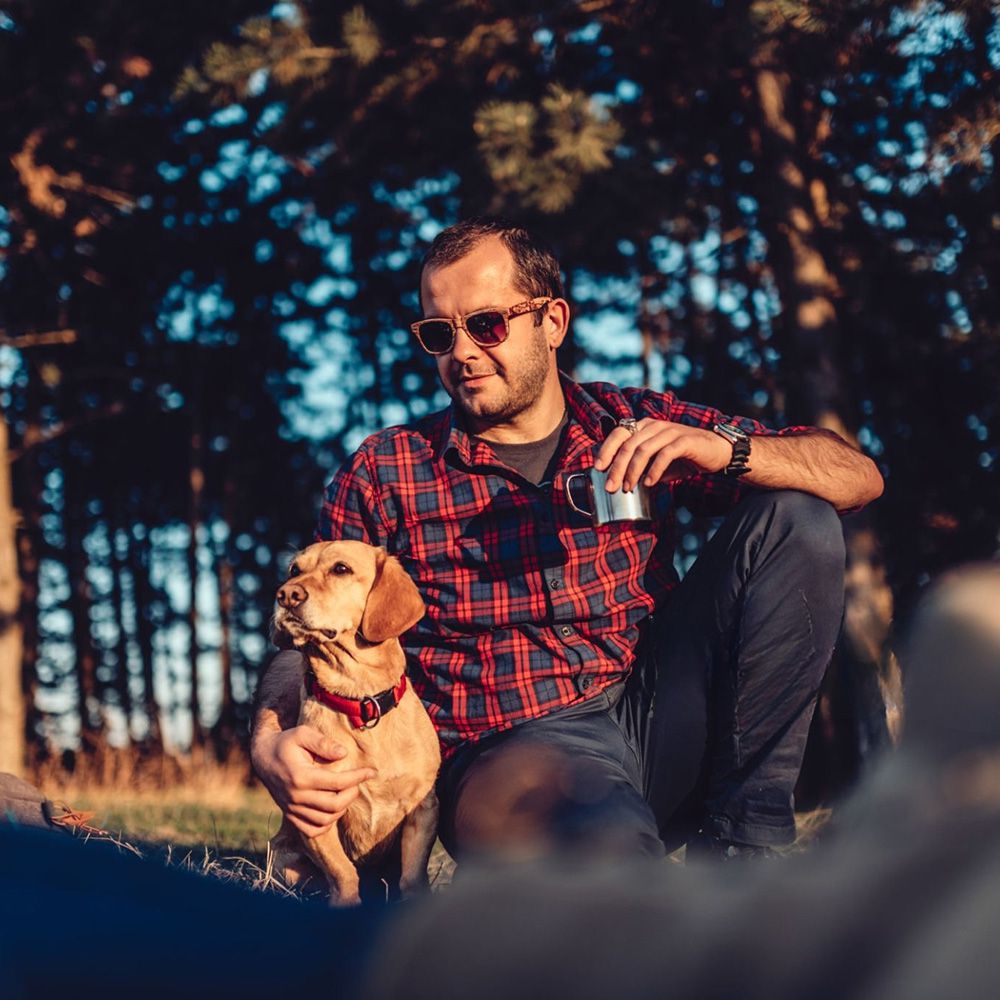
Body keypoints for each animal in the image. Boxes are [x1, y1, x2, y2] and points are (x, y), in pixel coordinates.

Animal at [268, 540, 440, 908]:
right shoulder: (316, 815)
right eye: (294, 570)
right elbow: (343, 872)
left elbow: (412, 875)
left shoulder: (423, 810)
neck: (361, 699)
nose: (286, 594)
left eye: (341, 569)